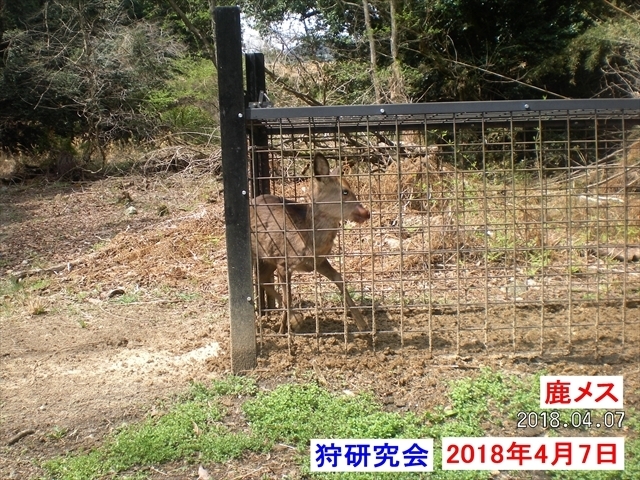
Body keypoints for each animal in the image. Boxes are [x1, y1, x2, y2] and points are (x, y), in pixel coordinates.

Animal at [250, 152, 370, 334]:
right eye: (345, 192)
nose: (366, 212)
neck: (308, 240)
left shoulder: (317, 261)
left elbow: (339, 278)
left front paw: (362, 323)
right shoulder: (284, 263)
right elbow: (287, 297)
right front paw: (290, 325)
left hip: (268, 258)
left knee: (261, 278)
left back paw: (288, 323)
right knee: (260, 280)